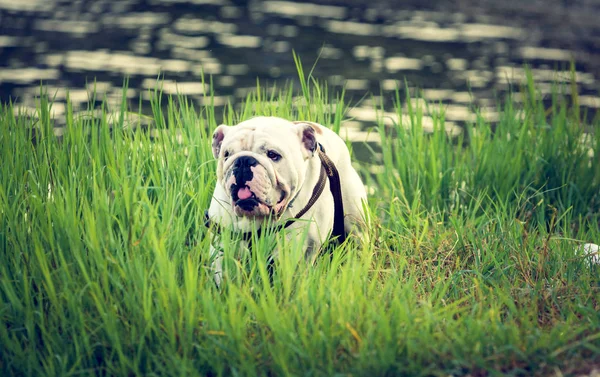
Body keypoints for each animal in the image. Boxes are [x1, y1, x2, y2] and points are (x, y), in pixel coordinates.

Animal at [205, 116, 366, 284]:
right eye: (226, 154)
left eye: (273, 154)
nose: (243, 160)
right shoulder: (221, 244)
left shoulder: (304, 249)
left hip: (356, 223)